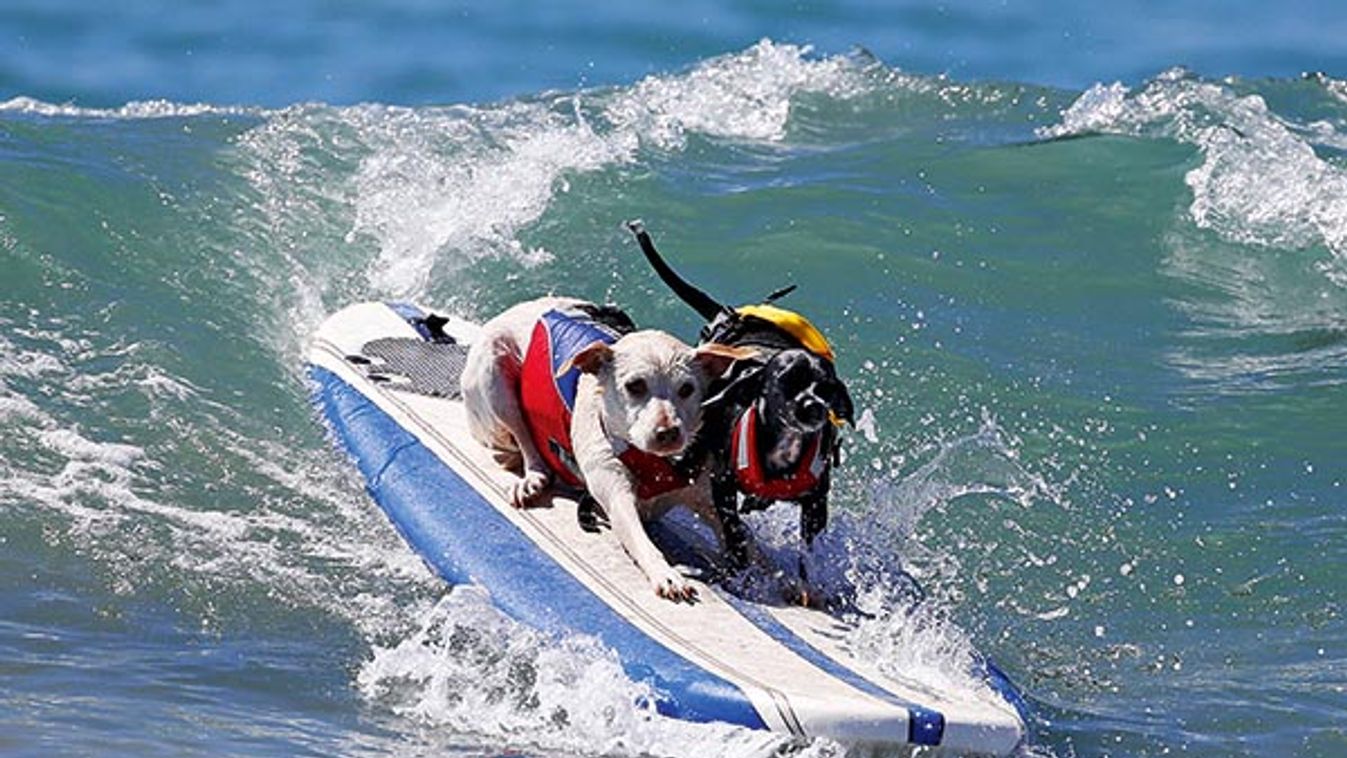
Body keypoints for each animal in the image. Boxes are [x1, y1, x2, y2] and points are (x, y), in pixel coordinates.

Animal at [457, 296, 754, 600]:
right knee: (523, 436)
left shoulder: (707, 499)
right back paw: (533, 478)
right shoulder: (616, 494)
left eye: (686, 389)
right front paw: (666, 574)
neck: (653, 462)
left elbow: (744, 540)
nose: (668, 433)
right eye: (635, 385)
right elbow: (638, 537)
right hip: (494, 372)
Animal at [627, 222, 856, 578]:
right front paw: (739, 566)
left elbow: (809, 554)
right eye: (786, 380)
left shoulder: (817, 503)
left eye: (827, 388)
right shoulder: (722, 484)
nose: (814, 407)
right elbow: (732, 528)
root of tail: (729, 315)